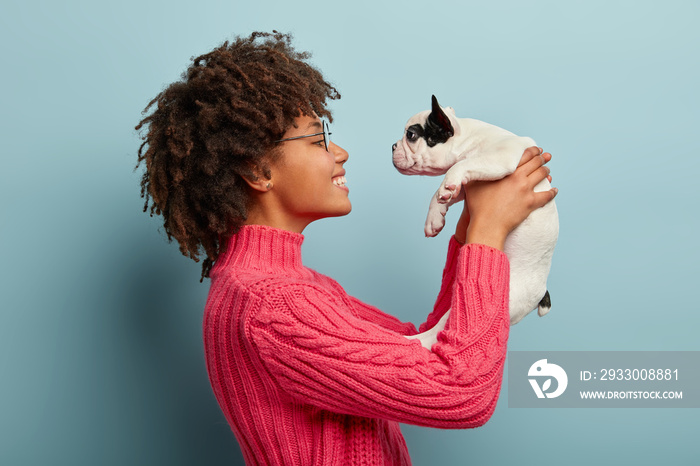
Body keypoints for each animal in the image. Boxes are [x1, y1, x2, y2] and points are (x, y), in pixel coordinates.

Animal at [394, 95, 556, 350]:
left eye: (411, 135)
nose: (392, 146)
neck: (469, 139)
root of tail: (542, 292)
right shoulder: (467, 185)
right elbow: (441, 194)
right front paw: (434, 217)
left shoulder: (499, 158)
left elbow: (456, 168)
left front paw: (445, 186)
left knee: (437, 333)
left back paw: (413, 341)